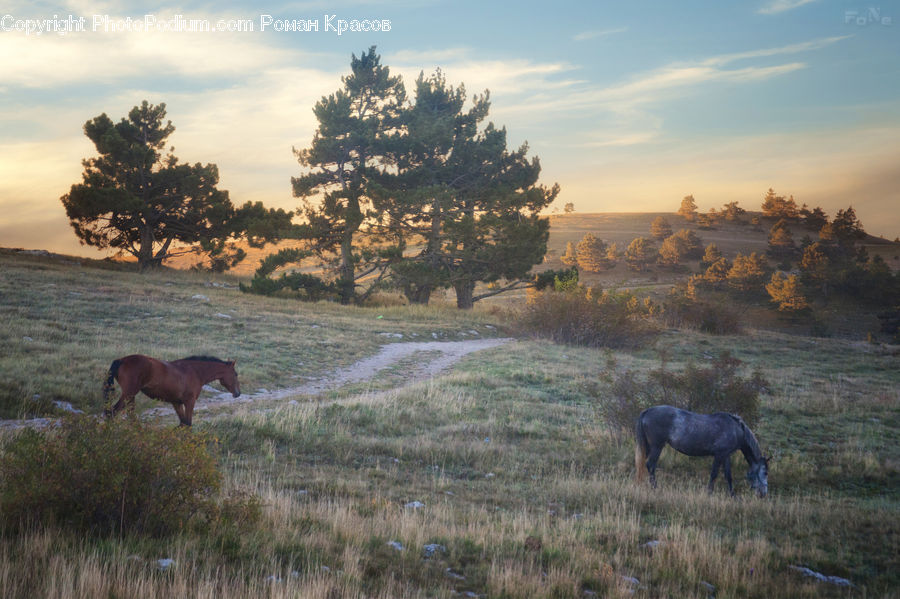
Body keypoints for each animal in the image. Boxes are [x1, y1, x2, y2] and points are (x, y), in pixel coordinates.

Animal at [102, 355, 240, 427]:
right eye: (236, 374)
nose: (238, 393)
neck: (195, 372)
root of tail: (121, 360)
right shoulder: (189, 402)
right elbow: (188, 423)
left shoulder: (176, 403)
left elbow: (182, 423)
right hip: (128, 394)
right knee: (111, 413)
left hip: (131, 396)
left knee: (130, 416)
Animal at [634, 405, 769, 497]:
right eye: (765, 472)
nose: (763, 494)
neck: (735, 429)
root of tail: (647, 411)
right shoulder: (719, 455)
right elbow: (714, 474)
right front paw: (709, 493)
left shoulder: (726, 455)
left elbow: (728, 475)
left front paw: (733, 495)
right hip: (657, 446)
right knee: (650, 465)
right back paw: (655, 488)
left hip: (650, 447)